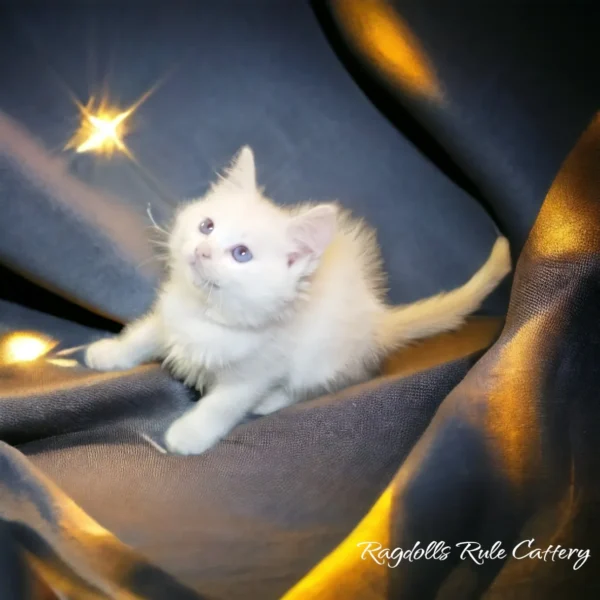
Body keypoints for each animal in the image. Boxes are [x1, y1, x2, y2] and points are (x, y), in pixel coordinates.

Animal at [84, 146, 510, 454]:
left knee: (314, 385)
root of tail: (376, 318)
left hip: (321, 358)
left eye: (241, 254)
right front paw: (108, 354)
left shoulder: (256, 371)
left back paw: (270, 402)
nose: (202, 250)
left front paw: (189, 435)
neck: (210, 315)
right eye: (207, 226)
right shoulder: (170, 316)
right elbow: (142, 337)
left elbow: (223, 405)